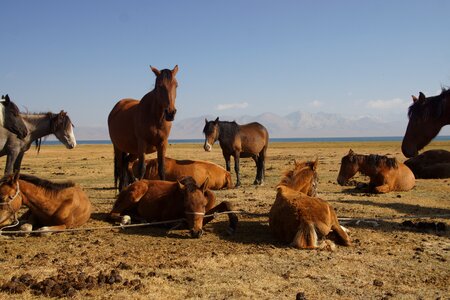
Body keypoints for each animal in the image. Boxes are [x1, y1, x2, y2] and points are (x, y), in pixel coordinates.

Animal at [108, 176, 239, 239]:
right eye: (186, 205)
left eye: (203, 205)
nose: (196, 232)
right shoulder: (168, 218)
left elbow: (224, 204)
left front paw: (232, 225)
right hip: (136, 194)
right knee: (113, 214)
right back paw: (126, 219)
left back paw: (142, 220)